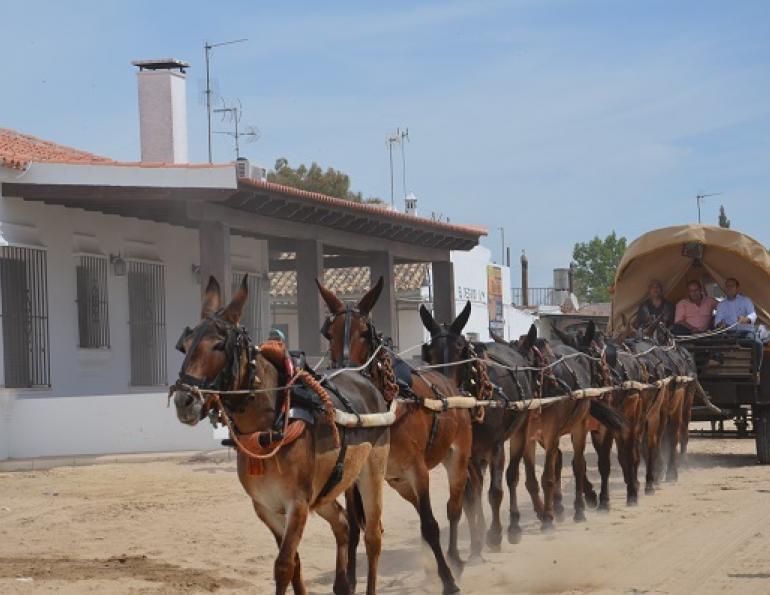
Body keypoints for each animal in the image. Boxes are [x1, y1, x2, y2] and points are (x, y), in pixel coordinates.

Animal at [172, 276, 390, 595]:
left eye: (218, 345)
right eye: (185, 345)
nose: (183, 401)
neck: (273, 425)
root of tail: (362, 378)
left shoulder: (297, 505)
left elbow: (284, 565)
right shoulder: (266, 508)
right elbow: (295, 563)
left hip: (370, 473)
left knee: (373, 536)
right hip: (325, 492)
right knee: (342, 523)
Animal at [317, 278, 472, 594]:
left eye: (365, 332)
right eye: (329, 333)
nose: (344, 373)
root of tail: (449, 383)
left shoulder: (418, 469)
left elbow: (430, 524)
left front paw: (448, 579)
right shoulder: (354, 475)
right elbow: (354, 528)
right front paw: (349, 580)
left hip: (457, 459)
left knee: (453, 508)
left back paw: (454, 559)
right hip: (397, 480)